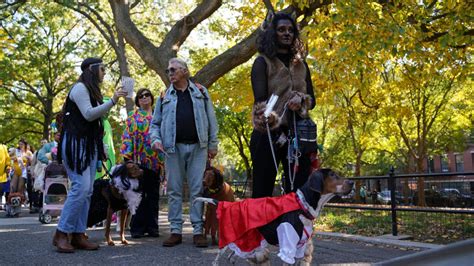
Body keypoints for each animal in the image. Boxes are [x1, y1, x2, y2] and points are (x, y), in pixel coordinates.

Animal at [194, 169, 354, 264]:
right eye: (332, 175)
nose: (352, 182)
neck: (301, 205)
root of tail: (226, 204)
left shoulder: (300, 247)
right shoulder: (287, 246)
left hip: (246, 242)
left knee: (232, 257)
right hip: (229, 240)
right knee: (217, 260)